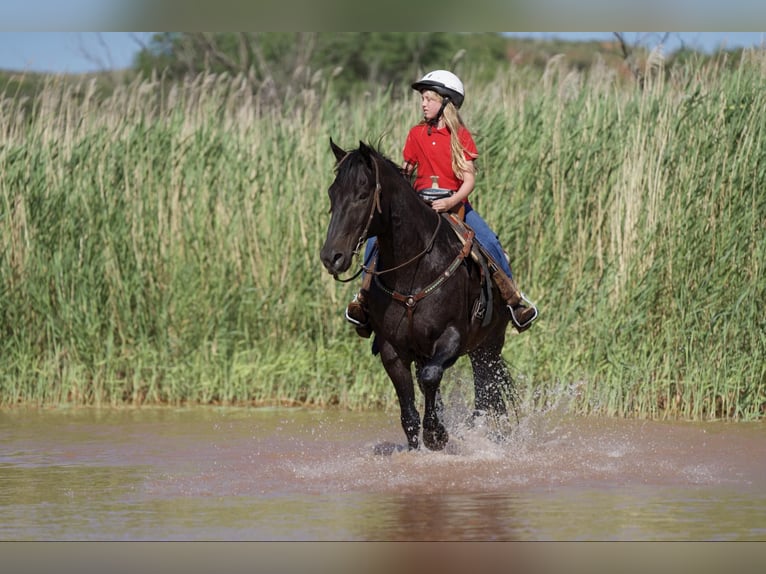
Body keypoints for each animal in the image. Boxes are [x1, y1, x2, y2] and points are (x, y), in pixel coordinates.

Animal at [320, 139, 517, 451]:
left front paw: (437, 434)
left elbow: (430, 377)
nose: (332, 257)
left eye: (362, 195)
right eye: (332, 193)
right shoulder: (392, 348)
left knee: (488, 393)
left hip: (489, 345)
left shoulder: (452, 337)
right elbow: (410, 413)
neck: (415, 268)